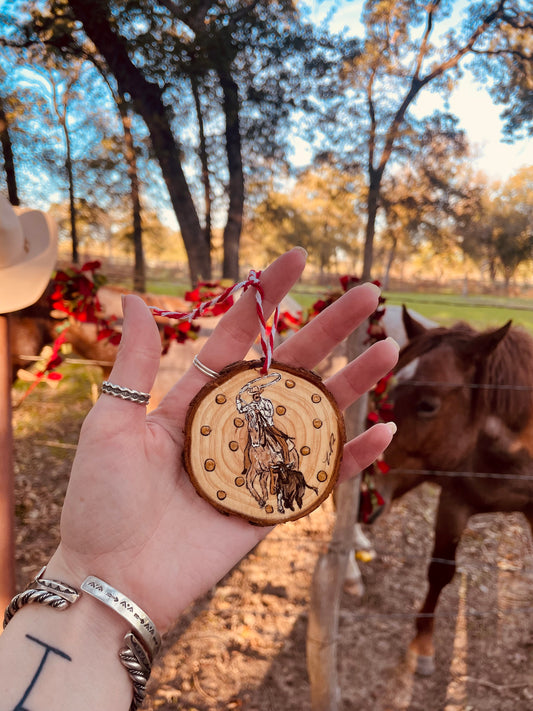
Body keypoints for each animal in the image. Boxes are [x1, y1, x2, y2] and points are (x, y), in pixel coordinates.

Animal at [372, 312, 533, 680]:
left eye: (427, 405)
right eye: (388, 392)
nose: (367, 494)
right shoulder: (453, 502)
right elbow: (440, 571)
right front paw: (422, 646)